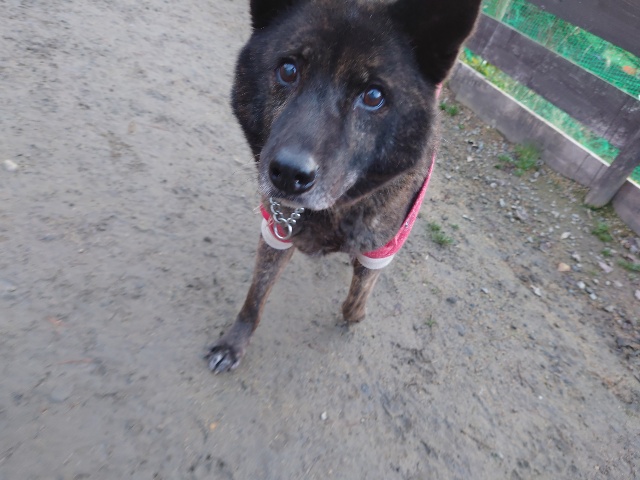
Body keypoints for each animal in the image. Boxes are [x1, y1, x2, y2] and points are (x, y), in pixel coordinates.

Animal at [206, 0, 482, 372]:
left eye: (374, 95)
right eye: (288, 70)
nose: (288, 174)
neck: (334, 209)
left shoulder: (380, 248)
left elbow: (355, 299)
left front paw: (356, 312)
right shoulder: (276, 230)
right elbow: (255, 296)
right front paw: (234, 343)